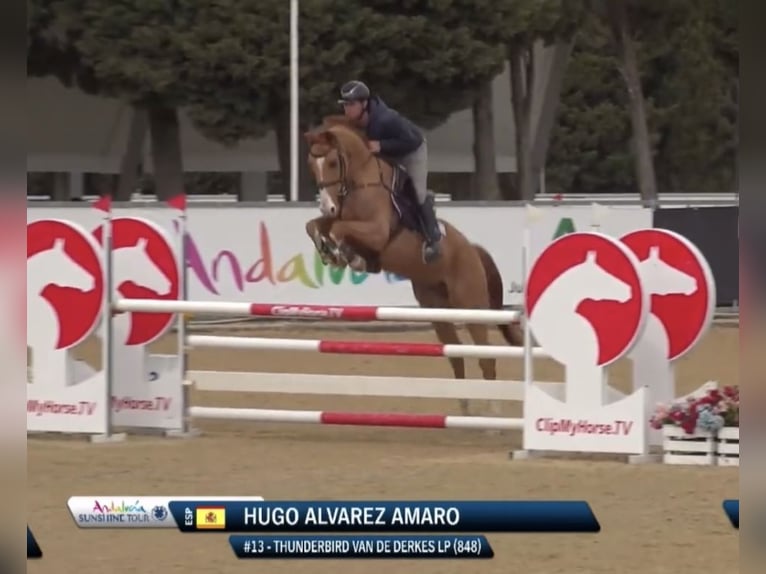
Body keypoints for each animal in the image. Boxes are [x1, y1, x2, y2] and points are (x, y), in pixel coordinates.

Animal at [304, 117, 524, 416]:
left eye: (332, 163)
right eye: (311, 163)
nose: (327, 206)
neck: (362, 180)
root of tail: (472, 250)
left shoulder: (376, 231)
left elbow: (339, 229)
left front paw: (344, 254)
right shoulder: (341, 217)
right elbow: (315, 225)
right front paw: (329, 249)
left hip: (472, 306)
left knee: (486, 357)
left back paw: (493, 414)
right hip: (437, 309)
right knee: (456, 355)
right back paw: (464, 409)